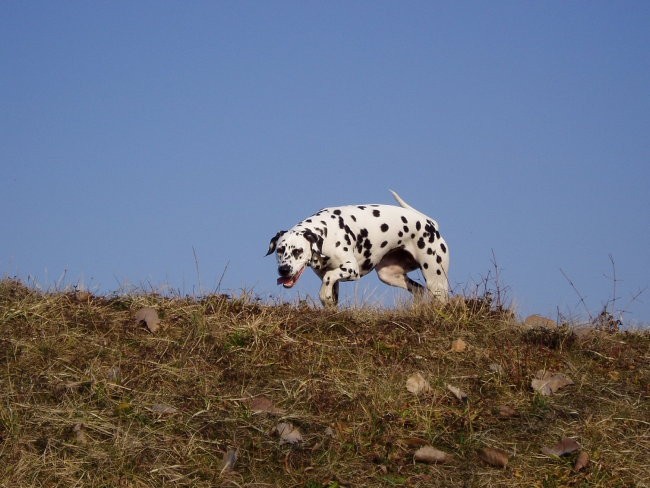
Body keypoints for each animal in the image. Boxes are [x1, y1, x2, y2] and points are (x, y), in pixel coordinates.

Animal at [266, 190, 448, 306]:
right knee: (419, 291)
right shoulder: (333, 281)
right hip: (388, 275)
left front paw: (323, 294)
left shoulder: (351, 269)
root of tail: (431, 223)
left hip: (436, 282)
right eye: (279, 250)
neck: (327, 231)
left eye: (297, 251)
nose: (283, 270)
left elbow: (329, 278)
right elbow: (329, 289)